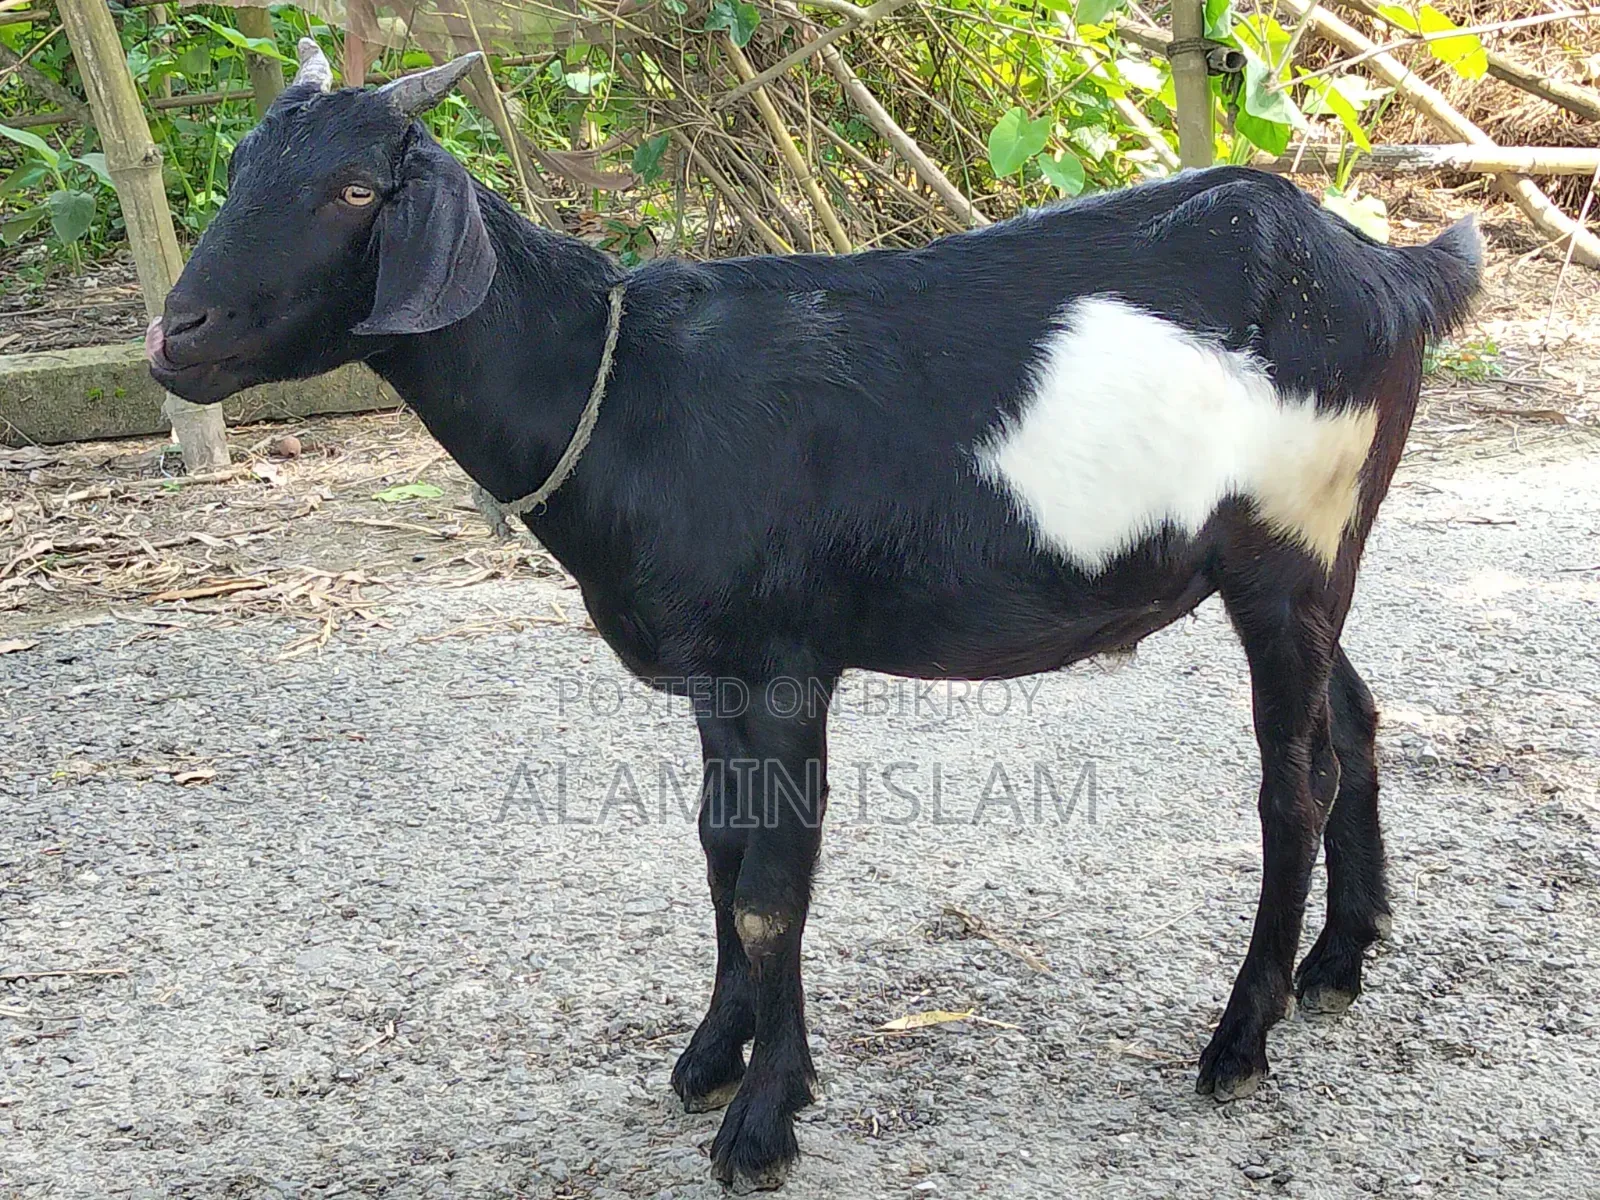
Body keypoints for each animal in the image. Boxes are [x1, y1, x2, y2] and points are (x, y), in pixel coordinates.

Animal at [149, 42, 1482, 1192]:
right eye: (239, 173)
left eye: (355, 189)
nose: (176, 336)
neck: (620, 389)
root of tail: (1390, 269)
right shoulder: (712, 672)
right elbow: (718, 848)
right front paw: (711, 1053)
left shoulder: (785, 663)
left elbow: (770, 886)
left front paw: (762, 1120)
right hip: (1308, 552)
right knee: (1357, 721)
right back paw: (1338, 962)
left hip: (1286, 550)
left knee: (1293, 780)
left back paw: (1241, 1036)